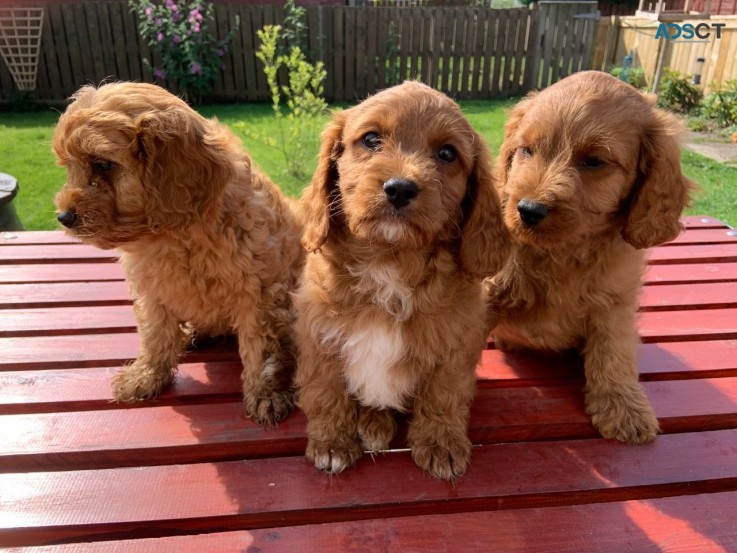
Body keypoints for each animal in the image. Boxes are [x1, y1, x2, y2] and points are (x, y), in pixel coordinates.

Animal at [53, 82, 304, 424]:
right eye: (69, 167)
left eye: (103, 164)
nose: (64, 216)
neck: (173, 234)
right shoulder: (153, 290)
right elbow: (155, 334)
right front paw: (145, 377)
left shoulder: (259, 293)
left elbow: (262, 351)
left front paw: (267, 395)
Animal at [290, 81, 508, 478]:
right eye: (371, 139)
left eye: (447, 153)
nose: (400, 188)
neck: (389, 261)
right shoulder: (318, 338)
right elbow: (327, 392)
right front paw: (332, 443)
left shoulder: (456, 343)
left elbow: (443, 395)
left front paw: (441, 445)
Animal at [486, 71, 692, 442]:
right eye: (527, 150)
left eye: (593, 161)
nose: (528, 209)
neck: (563, 251)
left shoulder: (614, 303)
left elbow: (613, 352)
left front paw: (624, 407)